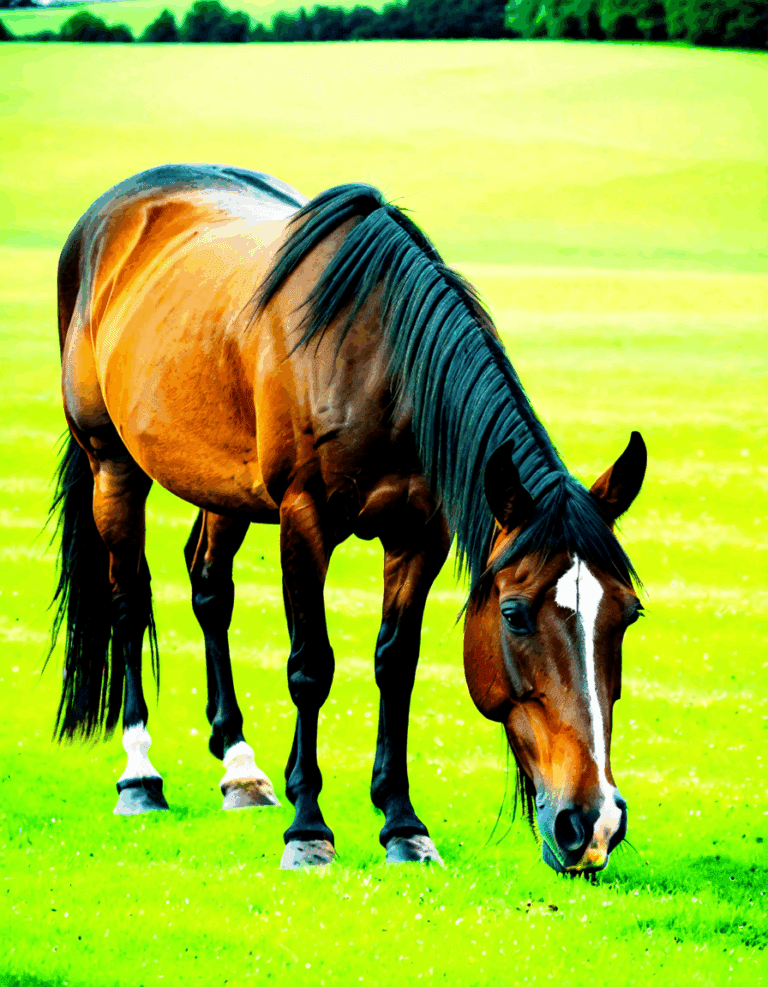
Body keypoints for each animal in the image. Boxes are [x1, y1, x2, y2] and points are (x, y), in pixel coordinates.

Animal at [49, 164, 646, 873]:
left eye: (629, 614)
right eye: (514, 614)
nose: (595, 822)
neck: (378, 365)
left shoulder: (420, 535)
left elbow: (396, 665)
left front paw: (402, 824)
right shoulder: (305, 520)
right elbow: (311, 666)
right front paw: (309, 829)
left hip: (223, 485)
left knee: (210, 591)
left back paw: (240, 768)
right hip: (112, 462)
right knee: (129, 600)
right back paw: (140, 777)